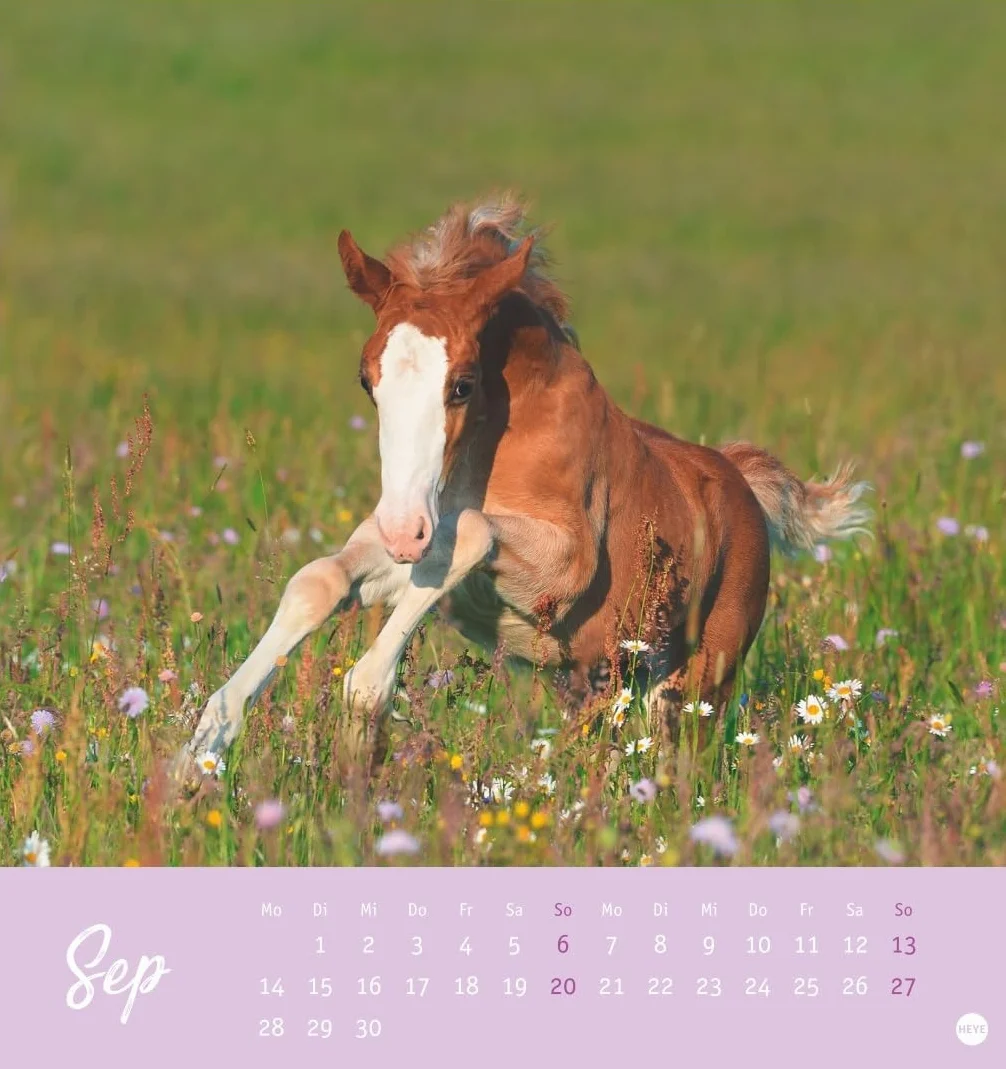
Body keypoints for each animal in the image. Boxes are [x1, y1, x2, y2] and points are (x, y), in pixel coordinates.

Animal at [174, 194, 869, 780]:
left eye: (462, 384)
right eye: (366, 380)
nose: (403, 530)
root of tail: (739, 482)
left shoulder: (558, 570)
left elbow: (470, 535)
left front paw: (361, 722)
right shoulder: (414, 550)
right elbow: (321, 580)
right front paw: (196, 756)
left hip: (695, 685)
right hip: (599, 675)